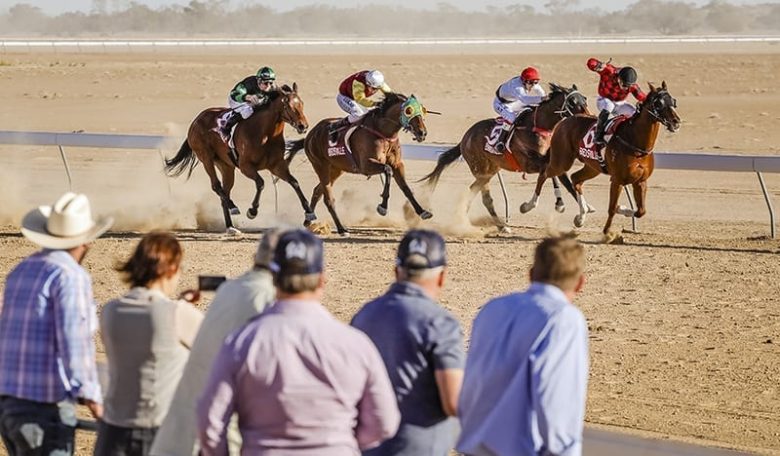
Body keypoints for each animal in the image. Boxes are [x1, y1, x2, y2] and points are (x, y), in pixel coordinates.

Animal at [163, 83, 312, 233]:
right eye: (287, 105)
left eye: (302, 103)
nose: (303, 126)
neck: (264, 133)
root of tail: (195, 121)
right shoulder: (246, 166)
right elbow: (260, 183)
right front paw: (252, 211)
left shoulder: (277, 166)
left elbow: (294, 182)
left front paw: (309, 214)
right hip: (206, 158)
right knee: (216, 186)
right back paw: (233, 207)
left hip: (225, 166)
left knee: (225, 191)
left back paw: (230, 226)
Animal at [286, 91, 432, 237]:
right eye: (409, 110)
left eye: (422, 110)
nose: (422, 132)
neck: (383, 132)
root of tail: (310, 135)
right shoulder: (366, 165)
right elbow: (387, 170)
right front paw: (382, 207)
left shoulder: (397, 164)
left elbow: (406, 188)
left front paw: (423, 211)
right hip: (320, 166)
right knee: (328, 199)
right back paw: (341, 229)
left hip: (335, 169)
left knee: (317, 190)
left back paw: (308, 218)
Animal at [420, 83, 584, 232]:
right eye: (573, 103)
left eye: (584, 100)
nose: (586, 118)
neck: (537, 128)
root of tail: (465, 137)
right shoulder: (530, 164)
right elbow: (546, 175)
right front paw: (531, 206)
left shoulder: (553, 160)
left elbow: (565, 182)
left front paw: (579, 212)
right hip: (481, 170)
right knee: (485, 198)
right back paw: (496, 225)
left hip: (491, 170)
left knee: (474, 191)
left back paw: (472, 220)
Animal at [524, 81, 684, 239]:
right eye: (658, 103)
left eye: (673, 101)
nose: (676, 122)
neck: (635, 142)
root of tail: (565, 120)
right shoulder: (617, 180)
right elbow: (612, 208)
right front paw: (607, 232)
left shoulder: (641, 181)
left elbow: (641, 211)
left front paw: (622, 208)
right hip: (562, 161)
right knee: (545, 174)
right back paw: (529, 205)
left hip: (592, 167)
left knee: (576, 179)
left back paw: (581, 216)